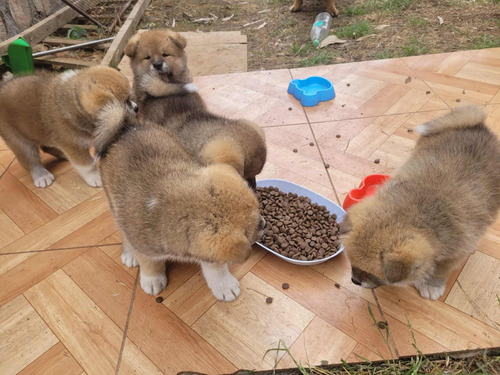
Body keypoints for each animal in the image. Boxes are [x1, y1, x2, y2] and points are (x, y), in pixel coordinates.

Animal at [0, 67, 136, 188]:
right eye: (125, 101)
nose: (137, 108)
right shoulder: (74, 147)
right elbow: (87, 165)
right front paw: (95, 177)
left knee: (47, 147)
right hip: (19, 141)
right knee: (30, 161)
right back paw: (42, 176)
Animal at [94, 101, 266, 302]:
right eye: (251, 229)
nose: (264, 223)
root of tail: (126, 128)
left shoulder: (207, 253)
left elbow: (215, 269)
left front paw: (224, 286)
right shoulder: (146, 250)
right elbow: (150, 265)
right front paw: (152, 279)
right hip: (112, 203)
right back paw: (129, 254)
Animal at [340, 105, 500, 300]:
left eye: (371, 273)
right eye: (352, 264)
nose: (354, 281)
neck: (416, 213)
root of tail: (478, 126)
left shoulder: (455, 254)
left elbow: (440, 270)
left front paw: (432, 284)